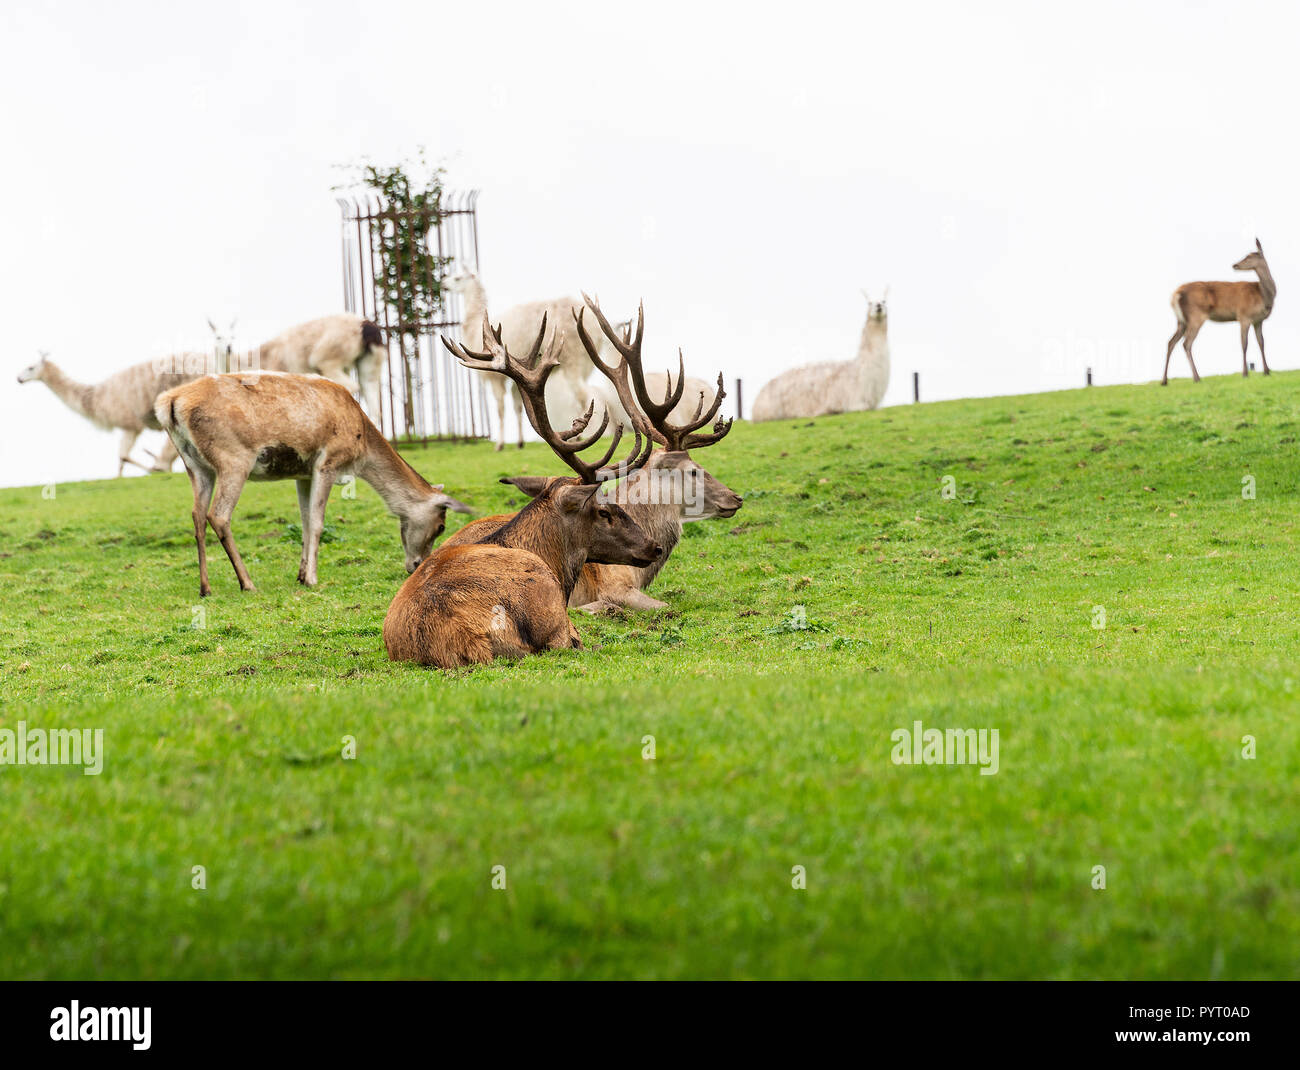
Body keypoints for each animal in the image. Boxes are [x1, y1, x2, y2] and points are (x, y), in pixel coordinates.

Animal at [156, 371, 473, 598]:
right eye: (441, 525)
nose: (417, 565)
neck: (362, 442)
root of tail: (169, 402)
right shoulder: (328, 462)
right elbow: (319, 522)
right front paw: (312, 578)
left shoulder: (303, 473)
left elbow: (306, 520)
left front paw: (300, 574)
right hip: (234, 460)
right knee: (218, 515)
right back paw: (247, 583)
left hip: (195, 466)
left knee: (197, 515)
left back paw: (205, 588)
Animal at [1164, 237, 1274, 384]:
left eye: (1250, 256)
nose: (1235, 265)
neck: (1263, 295)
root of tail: (1176, 294)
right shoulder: (1244, 316)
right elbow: (1244, 344)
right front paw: (1245, 373)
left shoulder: (1258, 320)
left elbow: (1261, 342)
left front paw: (1267, 371)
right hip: (1195, 316)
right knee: (1186, 343)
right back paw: (1196, 377)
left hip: (1181, 320)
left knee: (1171, 342)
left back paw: (1164, 381)